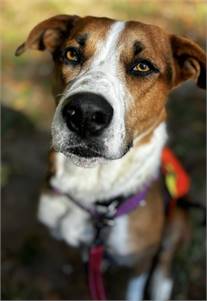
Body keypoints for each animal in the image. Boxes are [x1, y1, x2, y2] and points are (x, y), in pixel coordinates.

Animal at [16, 14, 205, 300]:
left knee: (164, 264)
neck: (92, 186)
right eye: (71, 54)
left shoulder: (140, 260)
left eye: (142, 66)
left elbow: (136, 288)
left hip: (177, 222)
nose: (84, 113)